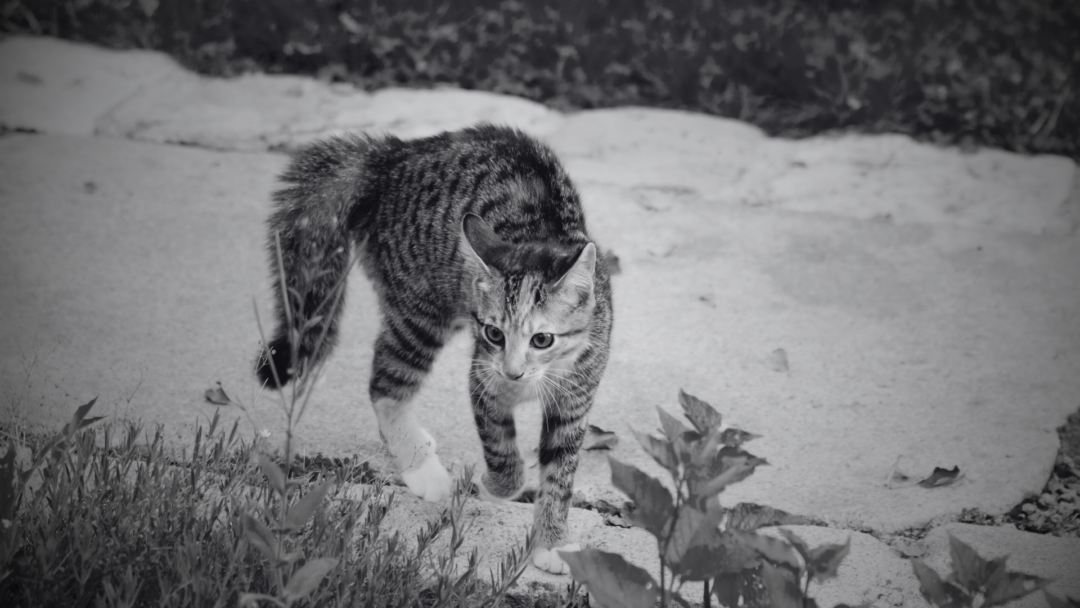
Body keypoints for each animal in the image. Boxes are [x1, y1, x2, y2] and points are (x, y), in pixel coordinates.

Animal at [250, 124, 609, 574]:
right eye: (493, 333)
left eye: (542, 339)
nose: (513, 372)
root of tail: (391, 156)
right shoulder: (484, 379)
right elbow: (501, 450)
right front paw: (493, 484)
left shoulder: (575, 399)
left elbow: (559, 476)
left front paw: (553, 541)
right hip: (421, 312)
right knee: (385, 385)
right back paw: (421, 467)